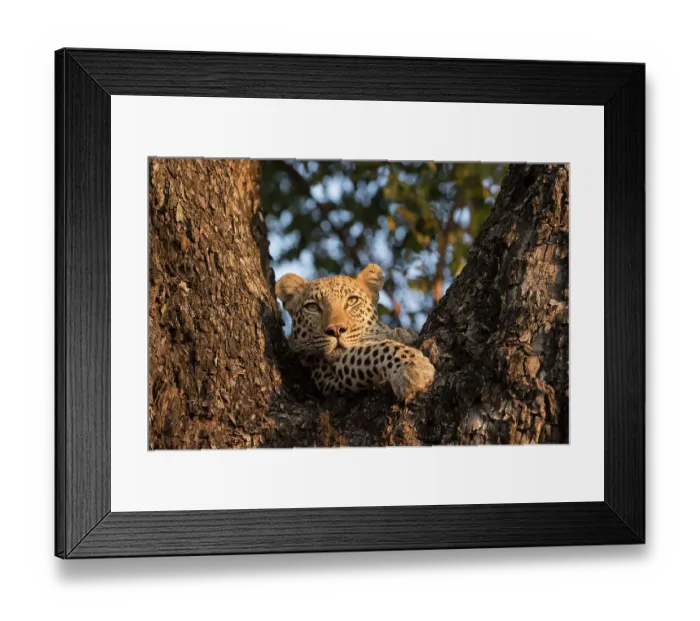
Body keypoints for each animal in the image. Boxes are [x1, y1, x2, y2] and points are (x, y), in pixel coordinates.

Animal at [275, 264, 435, 402]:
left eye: (352, 301)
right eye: (312, 307)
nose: (336, 329)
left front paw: (399, 333)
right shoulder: (327, 376)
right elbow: (369, 351)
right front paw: (412, 368)